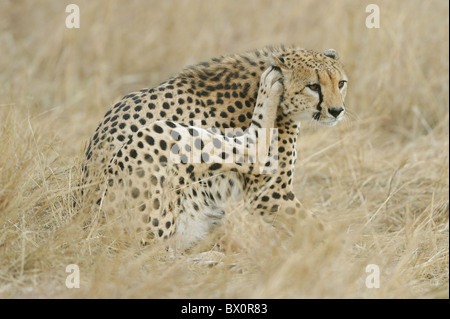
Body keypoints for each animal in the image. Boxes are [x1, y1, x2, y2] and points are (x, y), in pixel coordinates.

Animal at [81, 46, 348, 249]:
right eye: (313, 86)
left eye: (341, 83)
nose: (337, 110)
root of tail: (84, 225)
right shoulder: (270, 194)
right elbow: (315, 226)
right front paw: (344, 251)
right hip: (163, 136)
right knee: (252, 151)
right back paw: (268, 87)